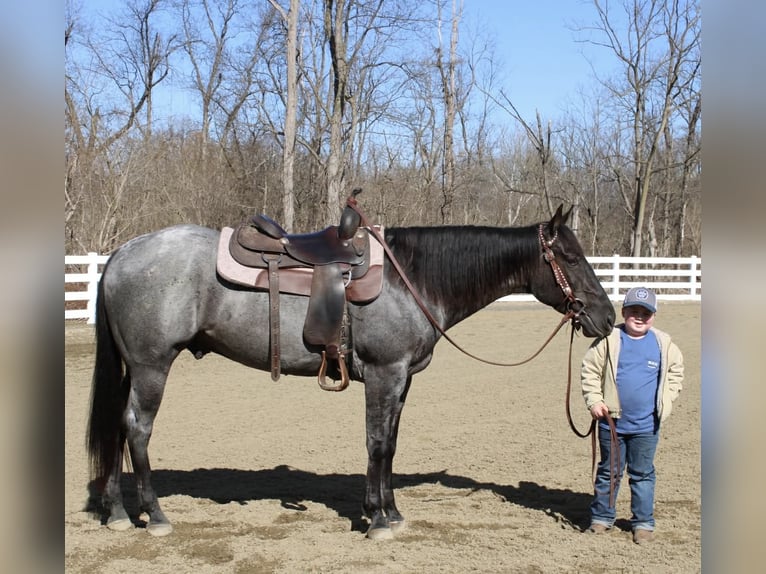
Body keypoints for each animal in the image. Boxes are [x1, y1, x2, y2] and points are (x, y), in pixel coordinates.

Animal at [86, 203, 615, 539]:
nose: (607, 318)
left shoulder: (402, 379)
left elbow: (390, 445)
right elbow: (376, 443)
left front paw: (390, 512)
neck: (412, 278)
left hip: (135, 369)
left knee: (116, 428)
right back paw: (154, 516)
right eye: (570, 257)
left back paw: (116, 512)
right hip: (152, 365)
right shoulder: (384, 373)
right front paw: (377, 521)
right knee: (137, 428)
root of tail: (122, 253)